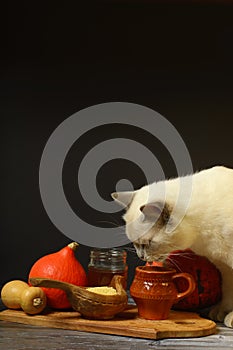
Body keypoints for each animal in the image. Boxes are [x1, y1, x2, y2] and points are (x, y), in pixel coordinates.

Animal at [112, 165, 233, 326]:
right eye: (135, 244)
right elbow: (228, 290)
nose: (141, 256)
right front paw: (223, 312)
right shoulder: (224, 266)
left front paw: (231, 317)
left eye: (148, 243)